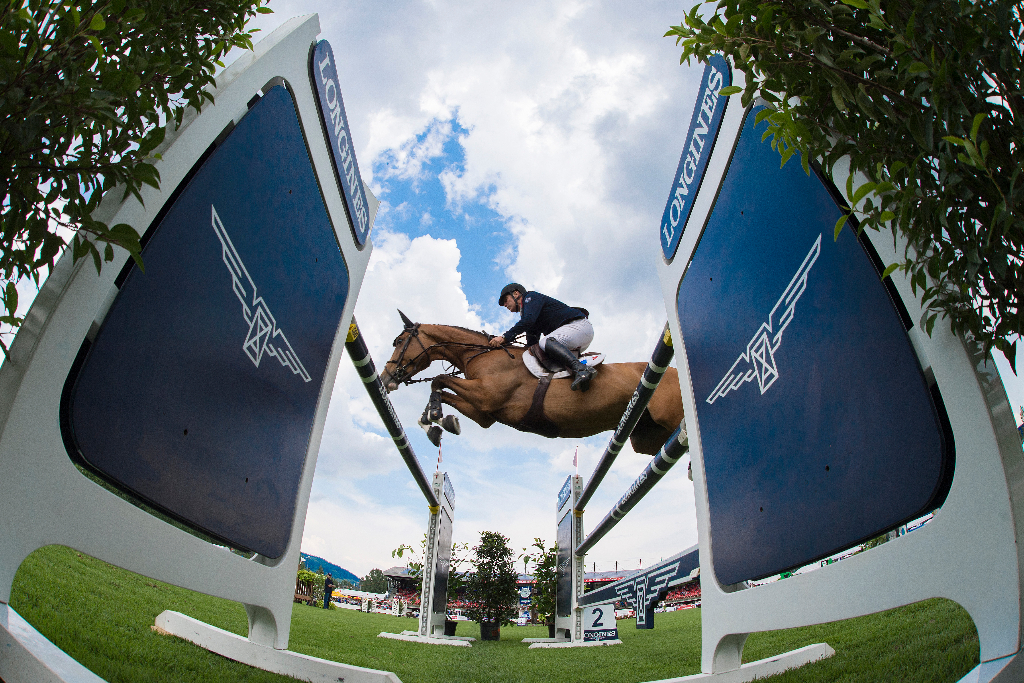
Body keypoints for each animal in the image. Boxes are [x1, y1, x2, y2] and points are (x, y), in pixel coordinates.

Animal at [380, 313, 684, 456]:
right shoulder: (484, 413)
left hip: (670, 419)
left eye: (399, 342)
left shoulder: (486, 395)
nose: (385, 379)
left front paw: (434, 418)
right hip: (646, 438)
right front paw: (437, 423)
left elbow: (439, 380)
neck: (479, 355)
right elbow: (441, 390)